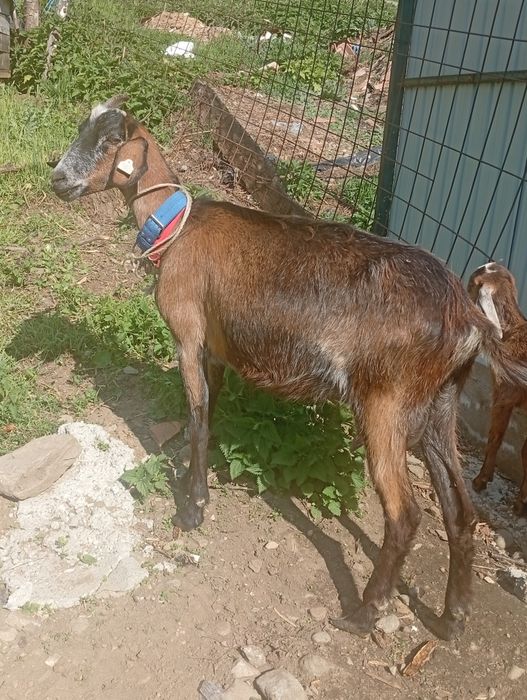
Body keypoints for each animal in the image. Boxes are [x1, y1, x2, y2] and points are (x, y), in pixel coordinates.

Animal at [50, 95, 527, 640]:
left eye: (110, 141)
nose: (59, 179)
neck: (177, 227)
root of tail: (468, 318)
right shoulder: (215, 346)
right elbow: (209, 412)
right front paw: (195, 479)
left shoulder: (188, 333)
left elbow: (196, 414)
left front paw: (192, 508)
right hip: (439, 402)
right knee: (460, 512)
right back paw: (452, 619)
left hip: (386, 399)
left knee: (405, 514)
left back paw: (365, 611)